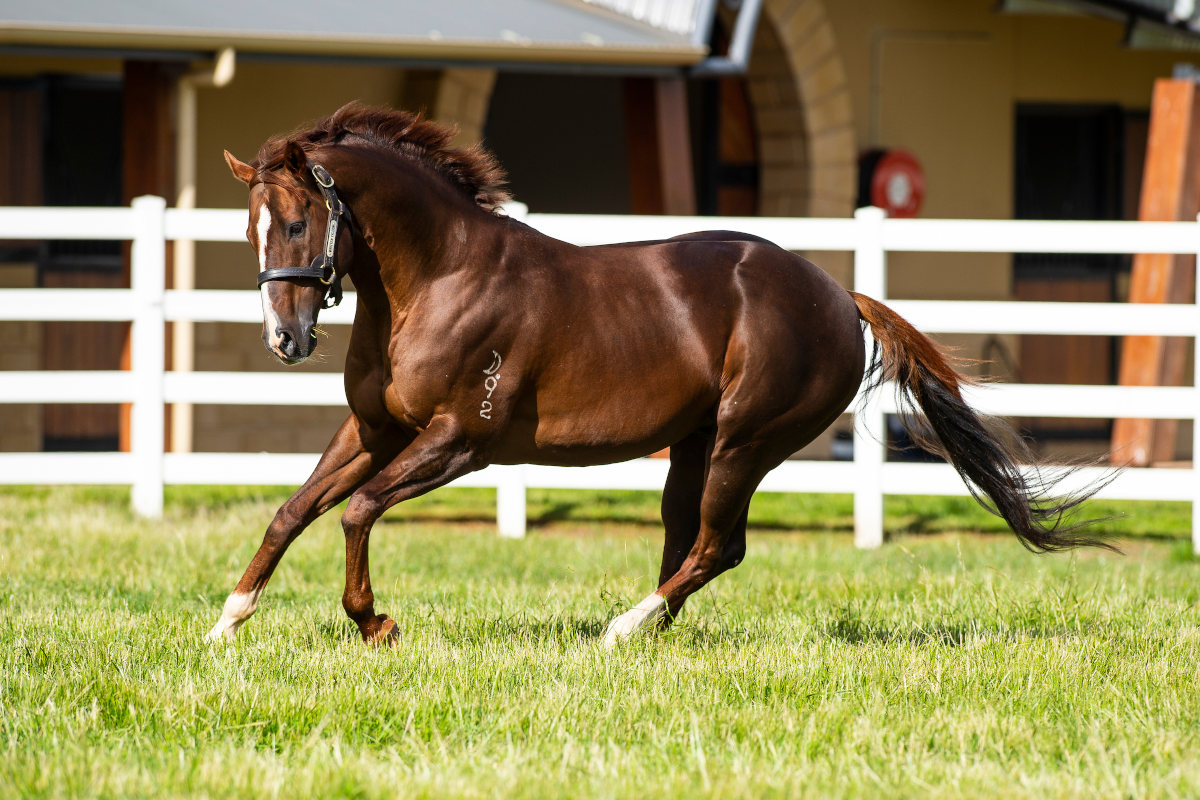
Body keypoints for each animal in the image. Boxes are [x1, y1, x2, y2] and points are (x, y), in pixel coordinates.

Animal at [206, 103, 1104, 647]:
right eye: (250, 230)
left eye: (296, 223)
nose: (285, 339)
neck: (438, 277)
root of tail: (836, 294)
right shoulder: (376, 428)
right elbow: (294, 511)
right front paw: (227, 622)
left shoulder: (462, 440)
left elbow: (357, 510)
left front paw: (376, 624)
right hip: (694, 446)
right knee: (688, 543)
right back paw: (645, 630)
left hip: (745, 443)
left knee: (715, 546)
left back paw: (620, 628)